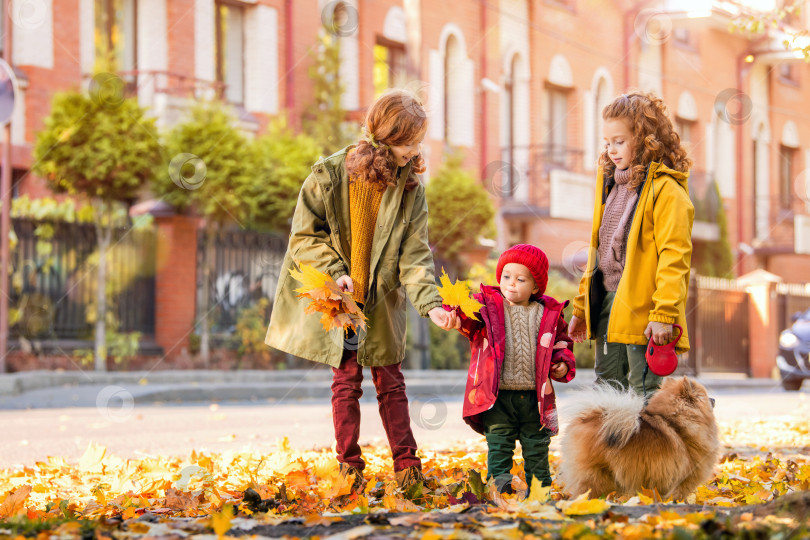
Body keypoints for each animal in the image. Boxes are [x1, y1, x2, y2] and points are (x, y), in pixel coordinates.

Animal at [556, 378, 720, 500]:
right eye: (705, 396)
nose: (714, 398)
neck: (677, 424)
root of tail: (589, 417)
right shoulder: (684, 477)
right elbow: (678, 495)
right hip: (596, 474)